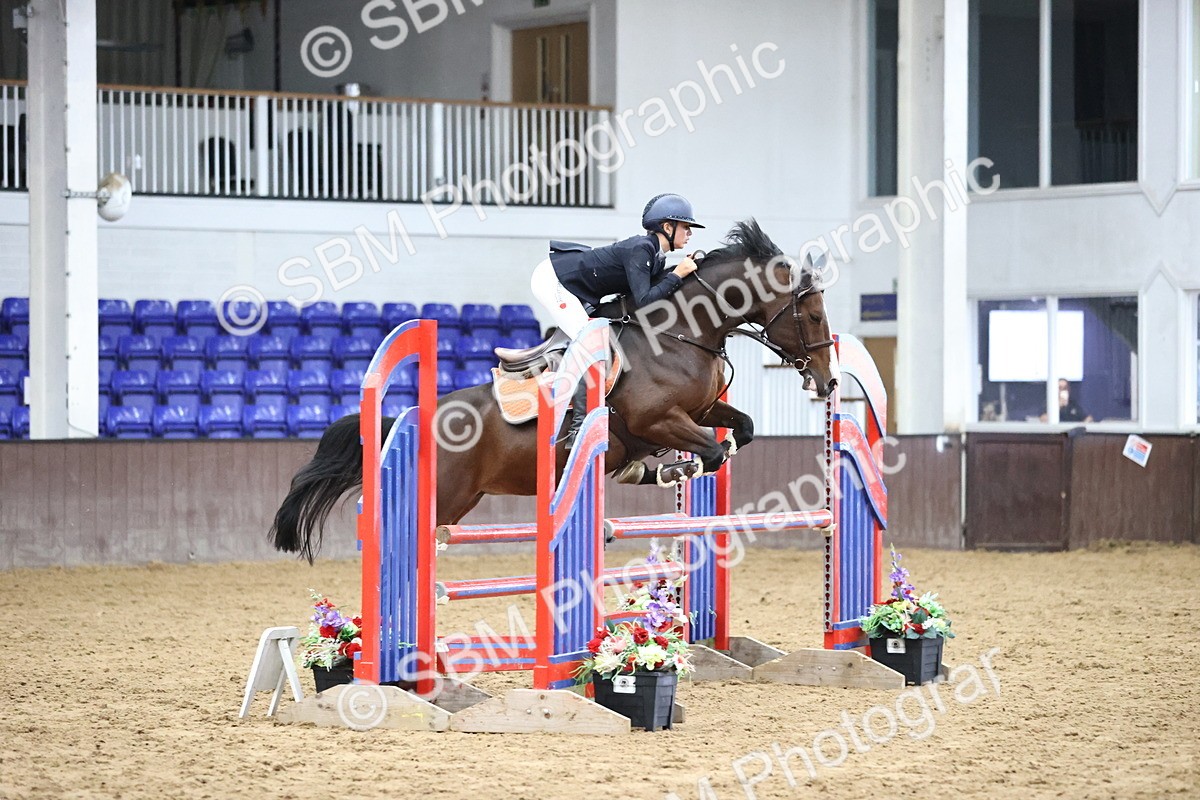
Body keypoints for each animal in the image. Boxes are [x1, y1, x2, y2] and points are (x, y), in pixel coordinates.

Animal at [271, 219, 838, 562]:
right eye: (812, 314)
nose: (828, 380)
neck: (682, 332)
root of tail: (411, 417)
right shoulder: (658, 420)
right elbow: (712, 451)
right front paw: (667, 470)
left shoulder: (701, 409)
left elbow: (741, 429)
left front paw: (658, 469)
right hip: (444, 497)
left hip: (460, 501)